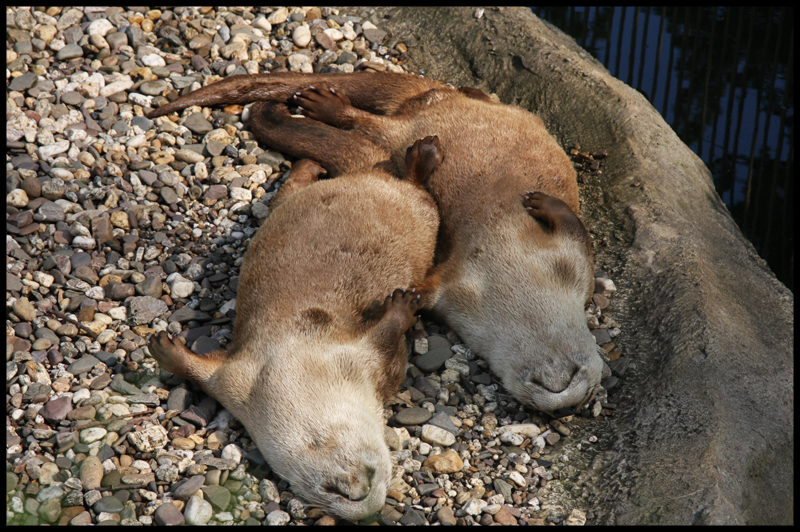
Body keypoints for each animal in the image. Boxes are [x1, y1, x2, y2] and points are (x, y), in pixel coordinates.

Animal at [147, 71, 608, 416]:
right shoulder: (560, 261)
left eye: (582, 397)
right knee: (376, 124)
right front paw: (540, 202)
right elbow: (572, 229)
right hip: (405, 133)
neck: (512, 279)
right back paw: (325, 104)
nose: (566, 404)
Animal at [147, 132, 440, 520]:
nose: (361, 495)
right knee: (291, 191)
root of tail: (375, 179)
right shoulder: (238, 380)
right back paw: (309, 165)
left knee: (418, 189)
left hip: (424, 213)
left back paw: (422, 156)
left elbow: (386, 332)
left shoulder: (353, 357)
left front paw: (402, 305)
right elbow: (201, 372)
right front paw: (165, 349)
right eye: (330, 491)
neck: (291, 362)